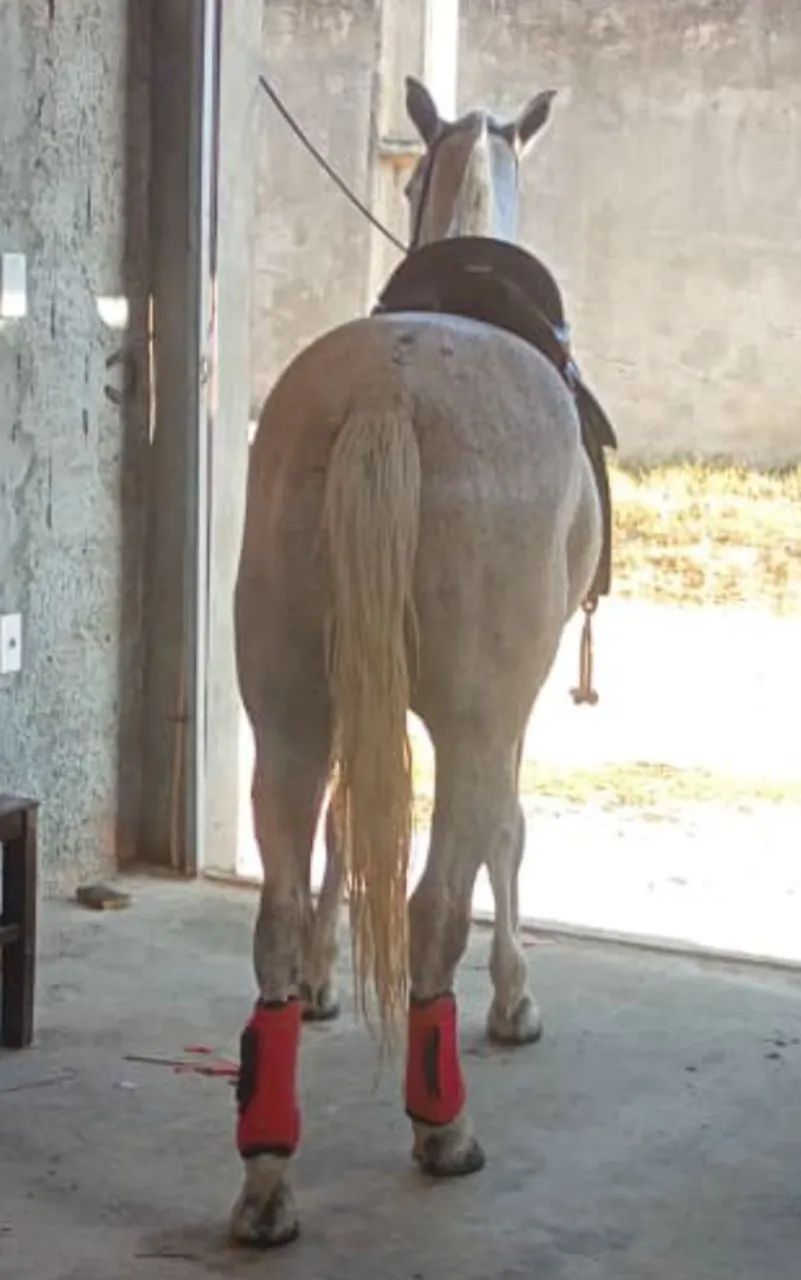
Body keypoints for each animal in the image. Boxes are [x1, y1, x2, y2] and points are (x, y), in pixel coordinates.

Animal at [231, 76, 602, 1247]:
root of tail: (387, 397)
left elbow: (348, 827)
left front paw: (321, 981)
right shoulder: (511, 707)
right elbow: (508, 836)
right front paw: (516, 999)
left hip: (288, 712)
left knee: (277, 901)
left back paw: (266, 1173)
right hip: (476, 716)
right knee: (438, 898)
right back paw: (444, 1130)